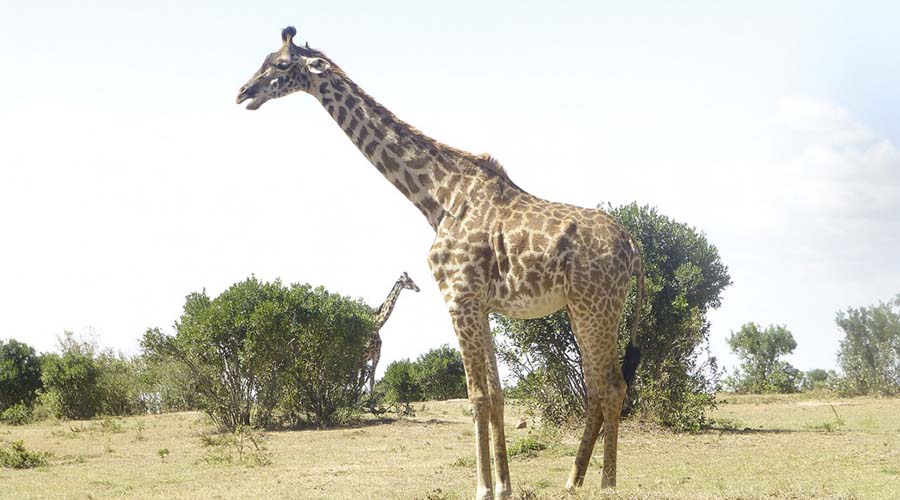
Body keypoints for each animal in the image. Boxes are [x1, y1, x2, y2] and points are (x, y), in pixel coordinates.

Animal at [237, 27, 644, 499]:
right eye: (264, 58)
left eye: (282, 65)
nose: (243, 92)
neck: (437, 197)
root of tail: (633, 245)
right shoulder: (480, 304)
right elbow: (497, 395)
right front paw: (504, 486)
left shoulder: (458, 297)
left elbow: (477, 396)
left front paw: (483, 488)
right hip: (586, 310)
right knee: (599, 387)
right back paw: (573, 479)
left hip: (596, 308)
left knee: (611, 386)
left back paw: (607, 483)